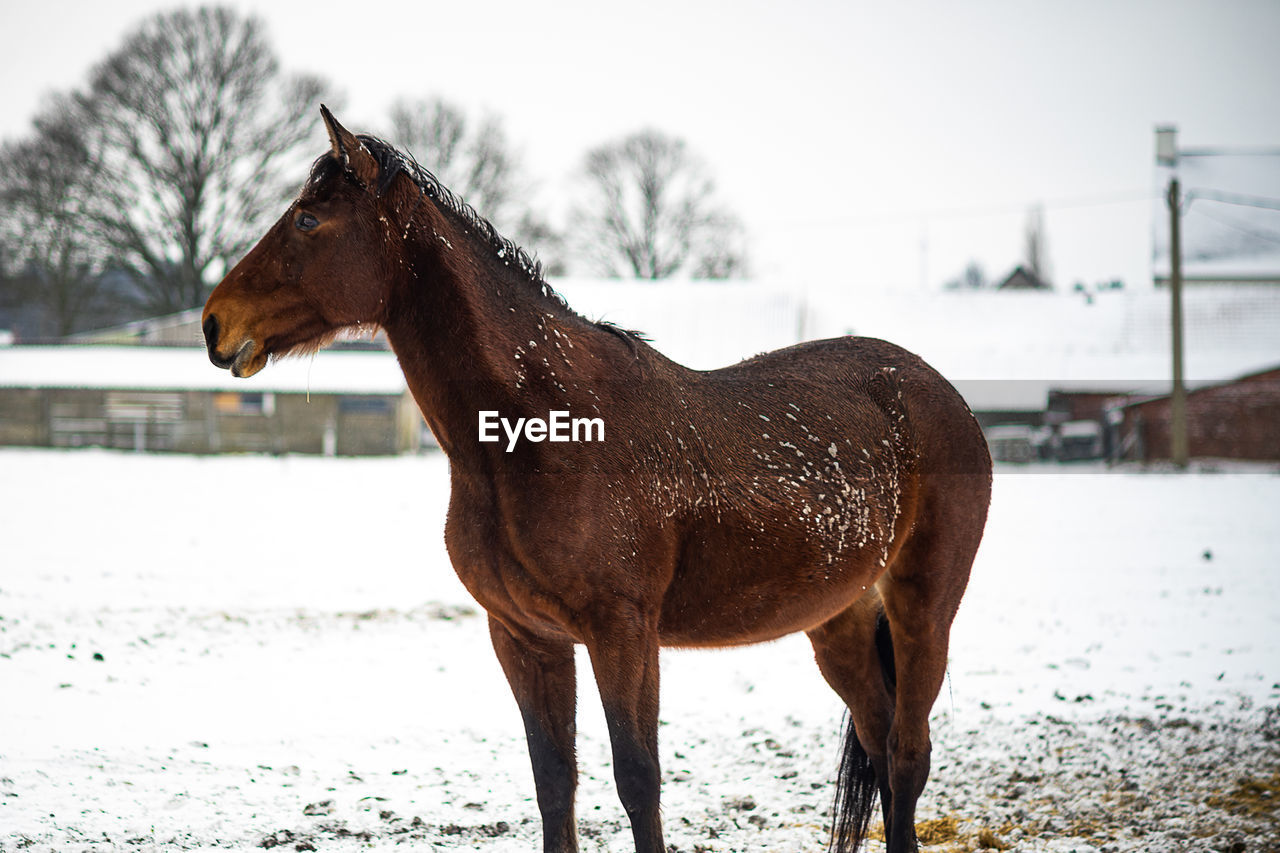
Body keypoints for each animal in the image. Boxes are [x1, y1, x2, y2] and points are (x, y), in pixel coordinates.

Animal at [204, 108, 993, 850]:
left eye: (308, 219)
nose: (215, 324)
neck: (542, 429)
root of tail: (939, 393)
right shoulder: (525, 636)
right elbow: (555, 781)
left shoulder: (623, 633)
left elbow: (637, 780)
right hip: (838, 621)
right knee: (879, 739)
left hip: (924, 610)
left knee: (906, 755)